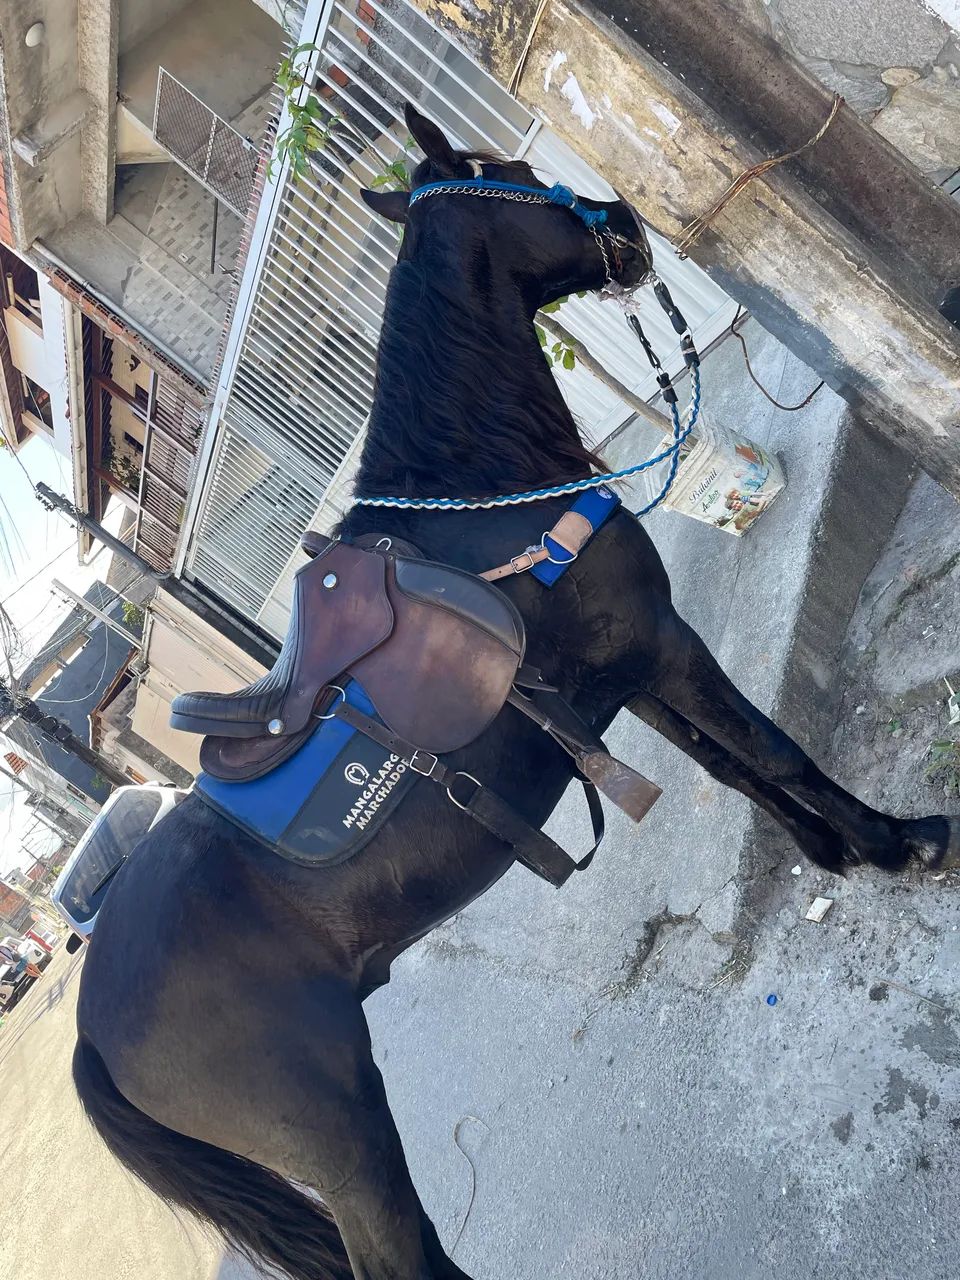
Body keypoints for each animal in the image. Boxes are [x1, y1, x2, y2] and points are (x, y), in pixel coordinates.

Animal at [73, 105, 959, 1280]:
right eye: (523, 174)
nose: (628, 222)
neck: (487, 497)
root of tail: (94, 1026)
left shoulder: (629, 675)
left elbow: (734, 765)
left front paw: (832, 850)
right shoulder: (660, 642)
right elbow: (773, 748)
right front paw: (899, 841)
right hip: (344, 1131)